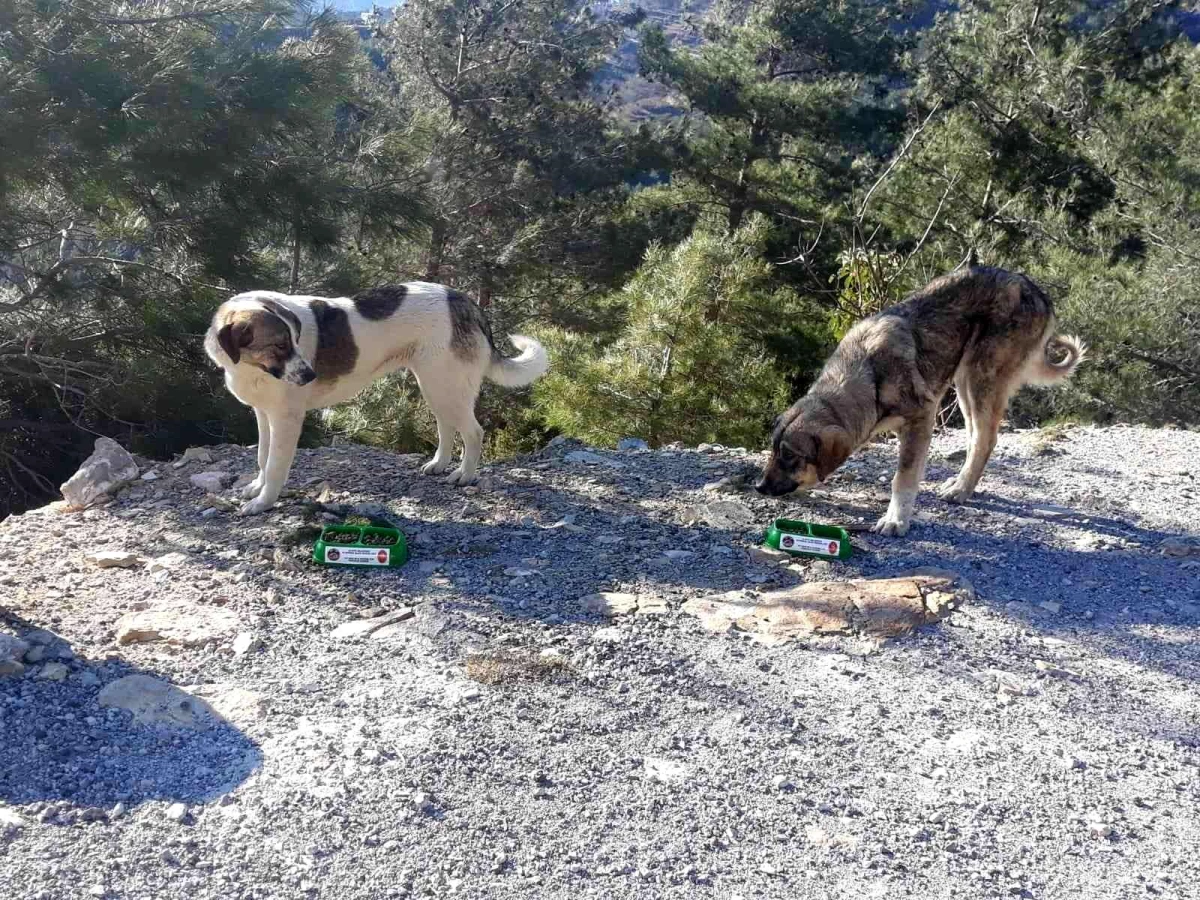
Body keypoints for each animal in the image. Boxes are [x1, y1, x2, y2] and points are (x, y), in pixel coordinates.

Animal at [205, 282, 549, 513]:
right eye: (279, 345)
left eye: (296, 340)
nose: (311, 376)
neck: (249, 366)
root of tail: (463, 300)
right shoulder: (264, 414)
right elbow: (263, 457)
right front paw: (257, 487)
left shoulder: (286, 419)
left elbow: (275, 464)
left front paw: (264, 501)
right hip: (435, 385)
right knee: (446, 425)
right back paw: (439, 464)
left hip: (445, 386)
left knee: (474, 432)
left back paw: (464, 475)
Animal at [758, 266, 1089, 535]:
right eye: (774, 451)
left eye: (790, 455)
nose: (759, 487)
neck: (867, 374)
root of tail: (1036, 290)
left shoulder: (921, 418)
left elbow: (903, 477)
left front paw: (896, 520)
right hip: (963, 382)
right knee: (975, 437)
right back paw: (960, 483)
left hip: (981, 379)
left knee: (986, 438)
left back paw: (962, 489)